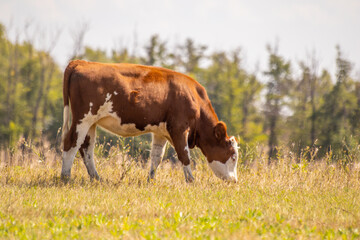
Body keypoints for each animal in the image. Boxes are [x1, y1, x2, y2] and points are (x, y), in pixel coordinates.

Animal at [60, 60, 238, 182]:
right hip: (83, 118)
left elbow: (156, 157)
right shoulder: (179, 128)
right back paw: (66, 177)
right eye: (233, 156)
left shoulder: (161, 132)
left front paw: (150, 180)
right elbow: (184, 155)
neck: (194, 98)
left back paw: (96, 178)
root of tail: (82, 62)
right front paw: (191, 181)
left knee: (86, 149)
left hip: (91, 123)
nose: (234, 181)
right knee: (71, 143)